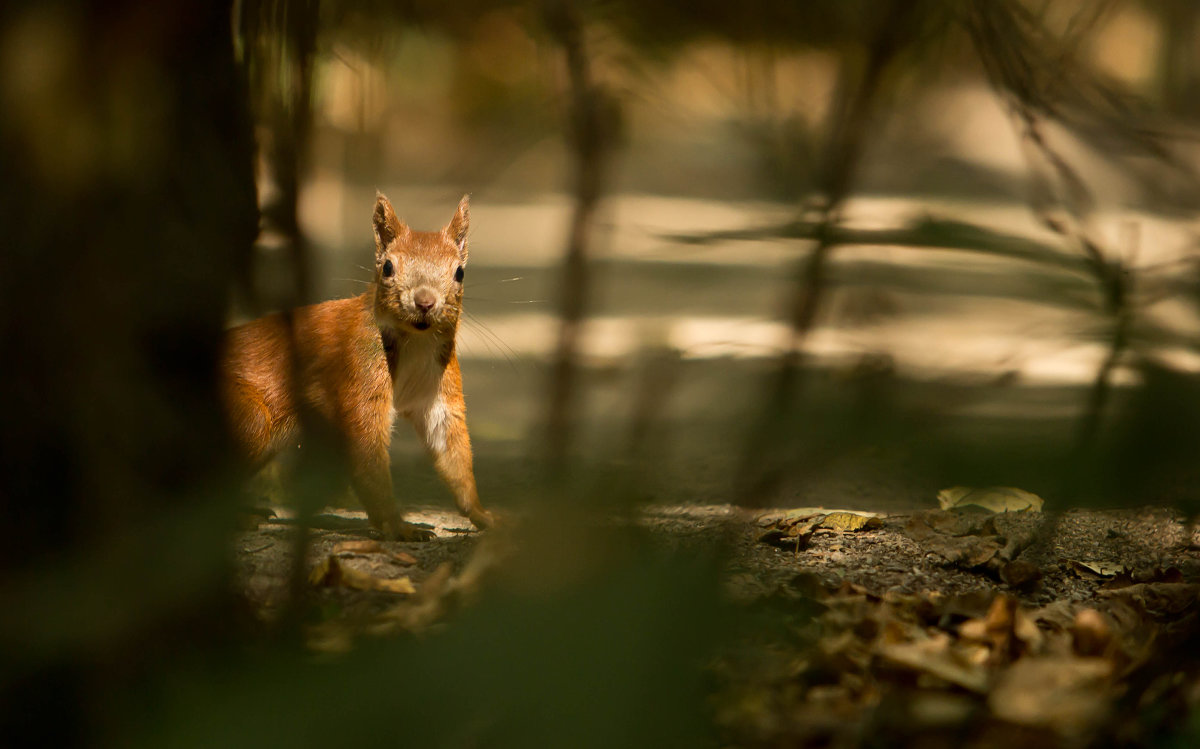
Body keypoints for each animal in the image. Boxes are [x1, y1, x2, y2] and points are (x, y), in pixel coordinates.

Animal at [220, 193, 492, 537]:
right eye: (387, 267)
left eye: (460, 272)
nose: (424, 302)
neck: (415, 342)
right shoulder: (356, 369)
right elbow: (368, 452)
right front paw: (398, 526)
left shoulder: (438, 389)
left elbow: (451, 449)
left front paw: (484, 515)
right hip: (245, 417)